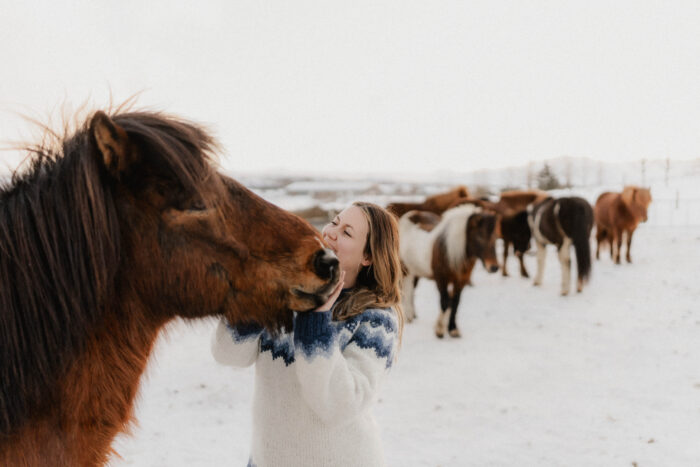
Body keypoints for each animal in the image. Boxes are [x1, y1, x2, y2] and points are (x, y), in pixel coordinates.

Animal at [396, 207, 500, 338]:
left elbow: (455, 303)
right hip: (404, 270)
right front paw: (440, 329)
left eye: (495, 237)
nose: (494, 267)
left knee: (411, 290)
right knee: (406, 290)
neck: (448, 250)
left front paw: (452, 329)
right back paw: (408, 316)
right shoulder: (441, 279)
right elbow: (445, 302)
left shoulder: (461, 280)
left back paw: (412, 315)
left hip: (414, 271)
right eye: (480, 236)